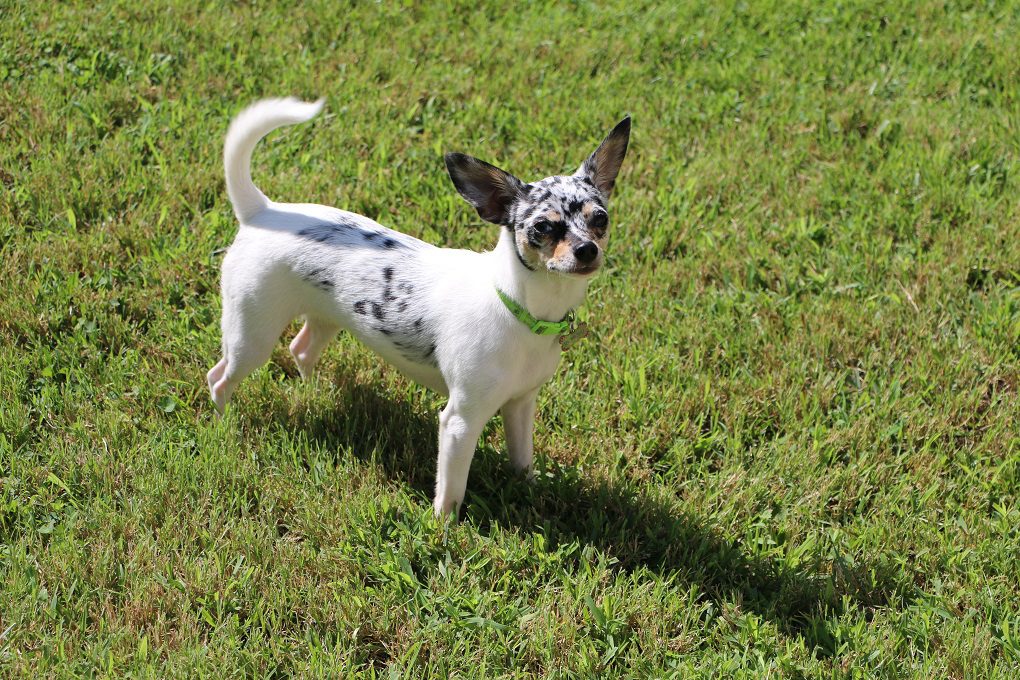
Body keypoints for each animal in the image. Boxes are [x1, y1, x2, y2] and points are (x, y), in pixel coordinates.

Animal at [207, 96, 628, 515]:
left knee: (301, 349)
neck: (519, 308)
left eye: (600, 219)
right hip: (251, 337)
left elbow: (522, 459)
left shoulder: (521, 405)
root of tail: (264, 210)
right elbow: (452, 488)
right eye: (543, 227)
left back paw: (312, 391)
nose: (587, 250)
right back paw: (225, 422)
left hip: (326, 317)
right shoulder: (460, 422)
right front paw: (444, 525)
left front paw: (529, 491)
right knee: (220, 376)